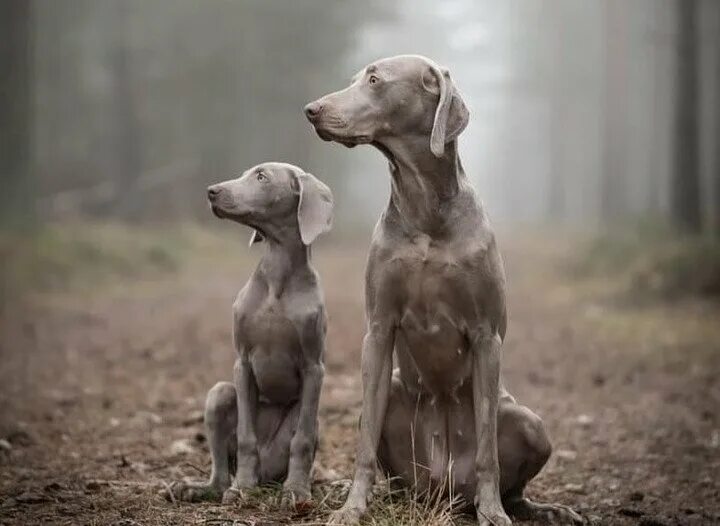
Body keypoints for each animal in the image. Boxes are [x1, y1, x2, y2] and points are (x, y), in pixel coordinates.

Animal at [165, 163, 334, 510]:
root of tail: (267, 474)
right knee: (220, 475)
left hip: (305, 417)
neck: (277, 277)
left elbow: (302, 440)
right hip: (219, 394)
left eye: (261, 177)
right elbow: (246, 436)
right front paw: (243, 487)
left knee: (303, 435)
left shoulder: (314, 367)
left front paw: (297, 491)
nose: (211, 191)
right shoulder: (242, 363)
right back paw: (198, 488)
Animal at [302, 55, 580, 524]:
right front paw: (351, 507)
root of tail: (443, 486)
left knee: (515, 487)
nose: (311, 110)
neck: (424, 209)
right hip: (397, 397)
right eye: (356, 78)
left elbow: (487, 447)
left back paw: (541, 508)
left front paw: (492, 512)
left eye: (374, 80)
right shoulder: (378, 330)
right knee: (390, 467)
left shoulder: (487, 335)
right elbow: (363, 440)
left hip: (528, 421)